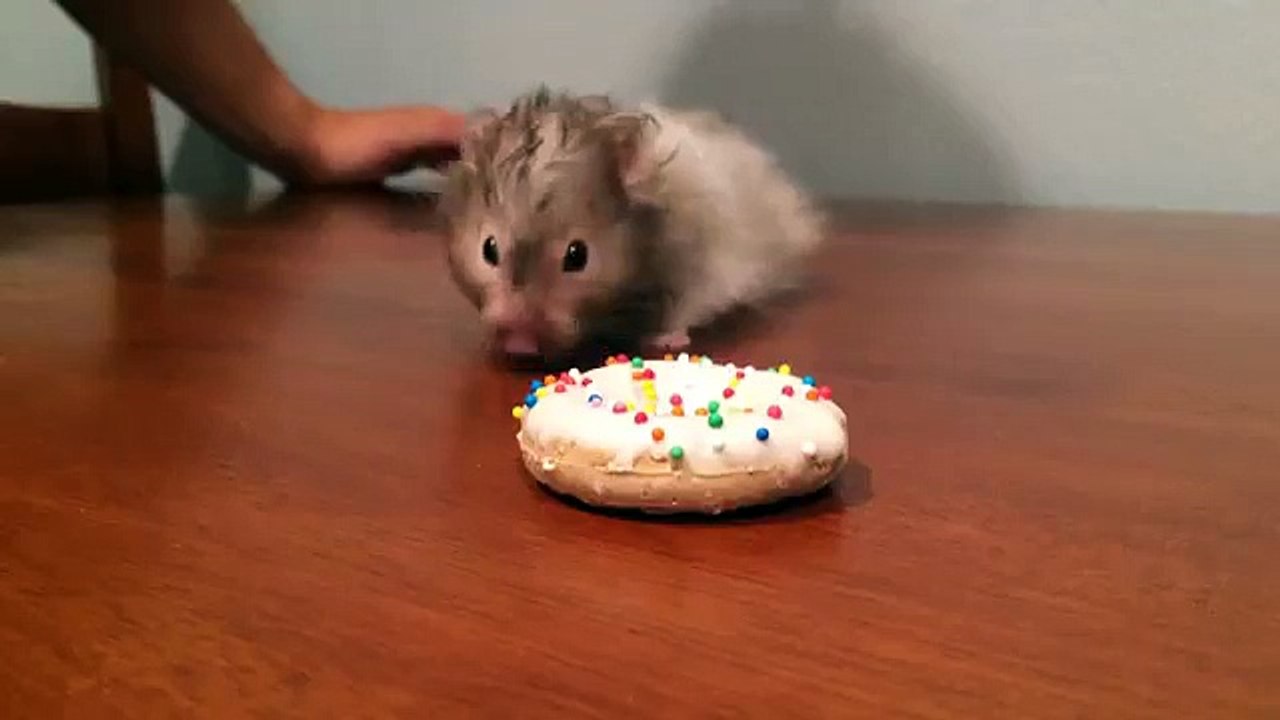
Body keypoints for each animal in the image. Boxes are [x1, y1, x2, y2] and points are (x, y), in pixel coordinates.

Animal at [439, 87, 825, 362]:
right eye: (488, 250)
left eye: (577, 256)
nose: (520, 345)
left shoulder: (701, 267)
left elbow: (685, 307)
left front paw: (663, 340)